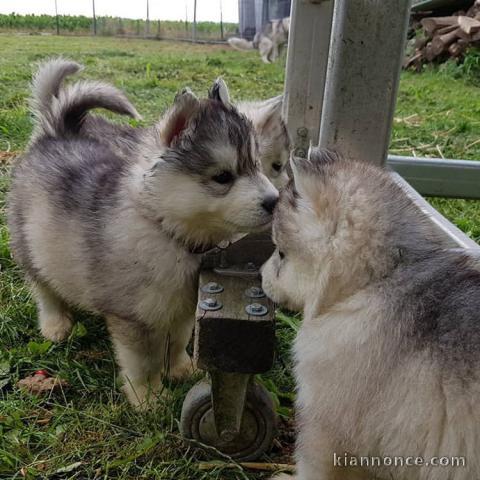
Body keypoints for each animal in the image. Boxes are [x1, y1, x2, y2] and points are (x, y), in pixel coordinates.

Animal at [7, 58, 280, 406]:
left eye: (257, 165)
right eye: (222, 177)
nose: (275, 202)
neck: (168, 231)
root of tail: (55, 132)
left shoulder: (181, 308)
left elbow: (176, 341)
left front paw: (180, 369)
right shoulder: (133, 318)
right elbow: (143, 360)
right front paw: (149, 397)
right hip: (30, 244)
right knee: (44, 289)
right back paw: (56, 324)